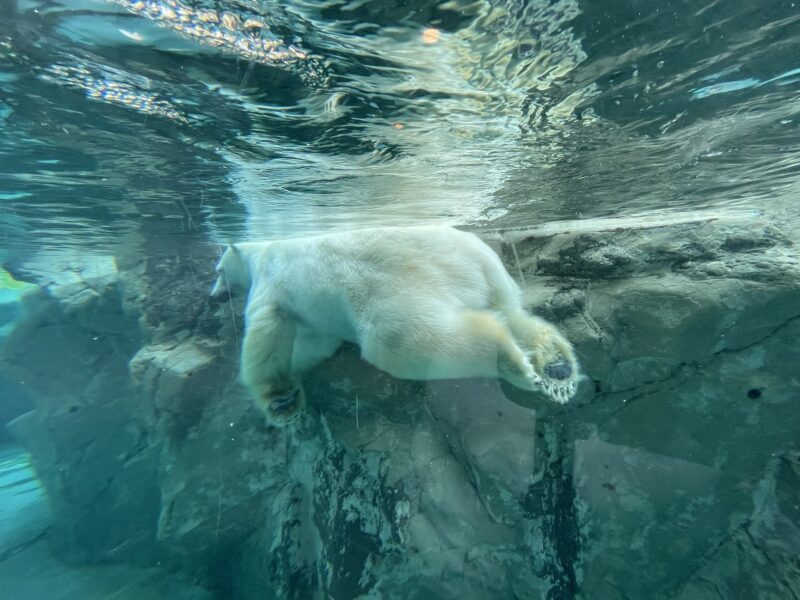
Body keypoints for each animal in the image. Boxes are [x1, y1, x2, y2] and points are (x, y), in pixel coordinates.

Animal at [211, 226, 576, 426]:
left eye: (217, 270)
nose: (213, 296)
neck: (260, 251)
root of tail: (473, 258)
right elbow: (317, 342)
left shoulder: (269, 284)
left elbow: (266, 336)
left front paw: (281, 401)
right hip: (493, 279)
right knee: (513, 314)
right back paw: (558, 369)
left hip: (391, 285)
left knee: (403, 340)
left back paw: (510, 362)